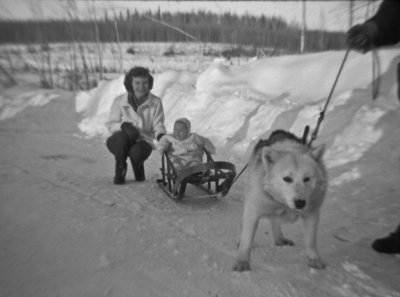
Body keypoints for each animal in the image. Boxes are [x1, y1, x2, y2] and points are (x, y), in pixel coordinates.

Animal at [233, 128, 326, 270]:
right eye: (287, 178)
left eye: (307, 179)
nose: (300, 203)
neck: (284, 204)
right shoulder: (253, 210)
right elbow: (246, 240)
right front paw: (242, 261)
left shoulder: (311, 214)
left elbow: (310, 241)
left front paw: (313, 259)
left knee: (275, 221)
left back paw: (279, 238)